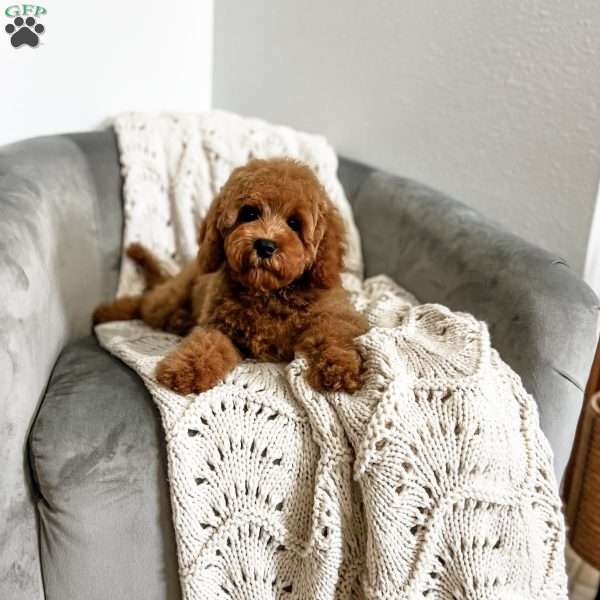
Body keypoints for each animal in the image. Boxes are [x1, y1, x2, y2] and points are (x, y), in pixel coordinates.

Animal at [94, 157, 368, 396]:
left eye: (294, 223)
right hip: (170, 297)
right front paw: (185, 369)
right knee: (145, 302)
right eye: (249, 213)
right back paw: (106, 312)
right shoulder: (218, 326)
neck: (267, 292)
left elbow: (334, 333)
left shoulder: (337, 315)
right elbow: (206, 344)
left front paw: (340, 368)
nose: (265, 245)